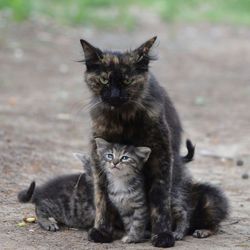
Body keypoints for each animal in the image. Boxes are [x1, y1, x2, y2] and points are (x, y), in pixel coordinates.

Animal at [80, 37, 229, 248]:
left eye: (127, 80)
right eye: (104, 80)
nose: (115, 96)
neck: (122, 119)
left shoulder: (161, 155)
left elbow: (160, 199)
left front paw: (162, 235)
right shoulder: (98, 154)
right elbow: (102, 197)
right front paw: (102, 230)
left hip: (209, 197)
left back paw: (198, 231)